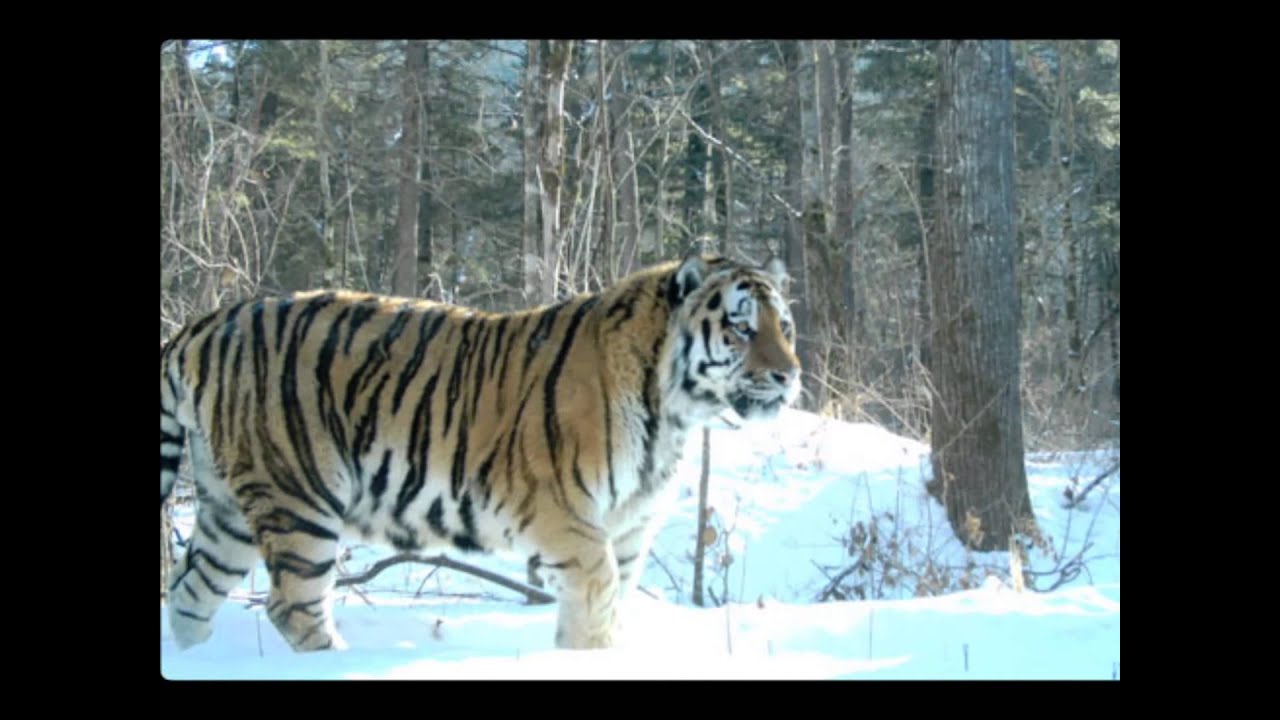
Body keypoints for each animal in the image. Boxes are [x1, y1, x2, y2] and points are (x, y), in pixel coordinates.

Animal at [160, 252, 798, 650]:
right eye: (741, 328)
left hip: (228, 508)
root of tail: (204, 324)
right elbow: (596, 607)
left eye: (784, 326)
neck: (673, 413)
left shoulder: (629, 530)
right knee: (293, 606)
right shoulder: (570, 521)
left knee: (189, 592)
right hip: (298, 498)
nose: (790, 375)